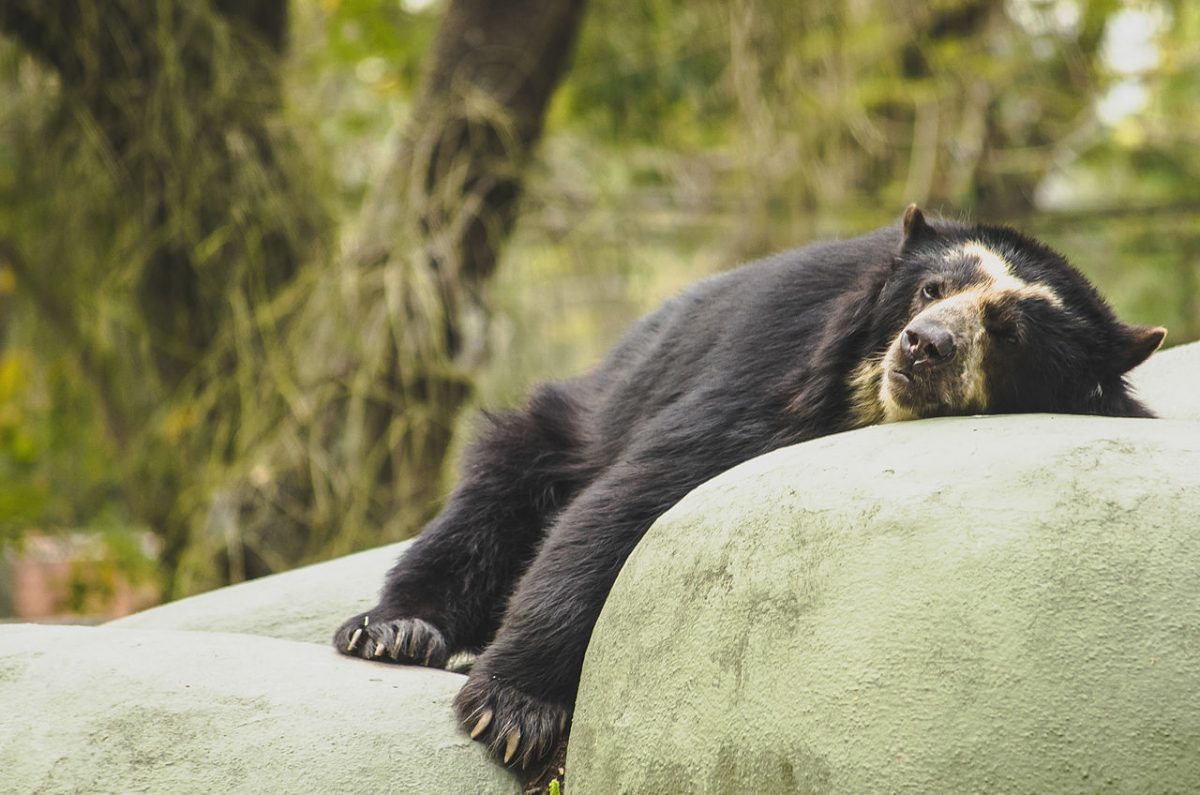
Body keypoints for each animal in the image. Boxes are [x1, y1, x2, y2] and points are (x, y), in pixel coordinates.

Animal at [328, 205, 1161, 773]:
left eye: (1008, 330)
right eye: (931, 288)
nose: (924, 346)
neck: (867, 404)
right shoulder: (773, 363)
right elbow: (632, 499)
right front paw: (512, 714)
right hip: (559, 428)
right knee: (490, 503)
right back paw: (396, 630)